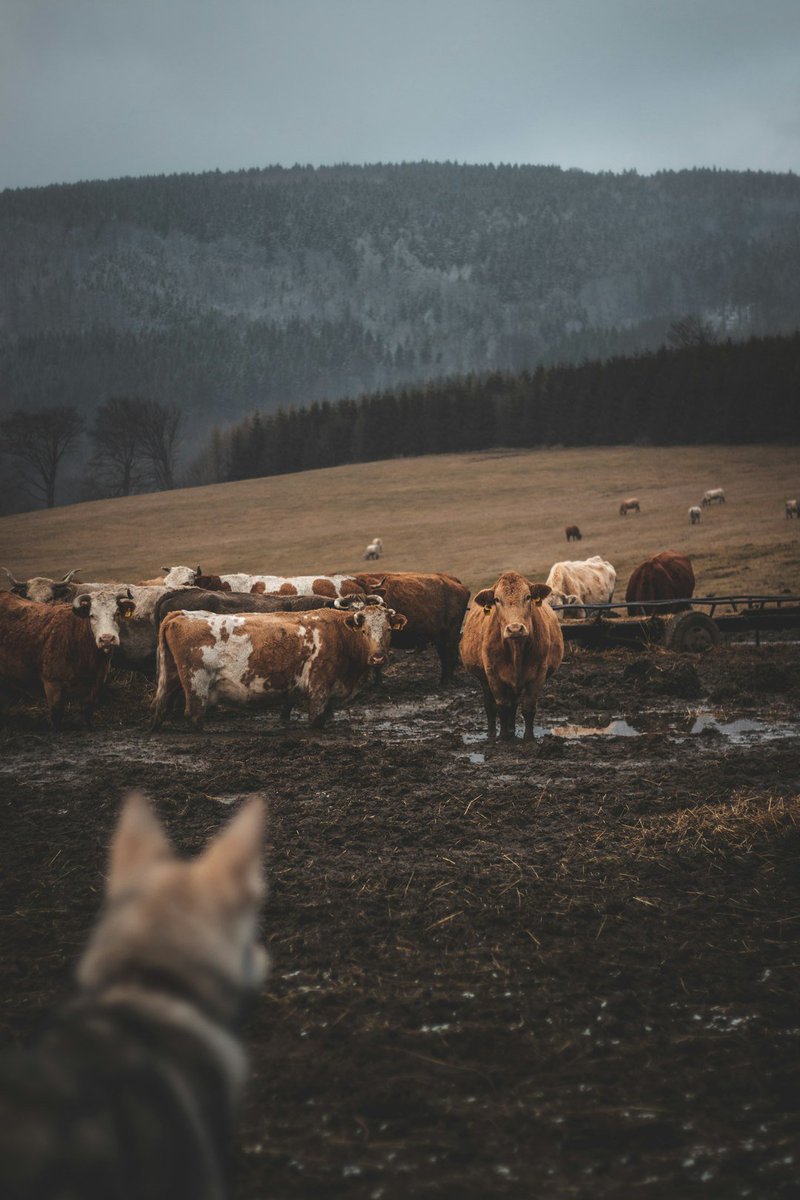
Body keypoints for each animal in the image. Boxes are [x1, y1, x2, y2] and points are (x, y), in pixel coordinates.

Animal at [0, 590, 134, 728]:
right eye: (92, 615)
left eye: (117, 613)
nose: (106, 638)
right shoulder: (52, 685)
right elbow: (57, 716)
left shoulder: (94, 687)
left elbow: (87, 713)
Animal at [151, 604, 406, 732]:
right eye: (364, 630)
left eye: (389, 630)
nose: (377, 657)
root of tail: (180, 614)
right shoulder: (319, 689)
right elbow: (316, 721)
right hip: (196, 682)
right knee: (193, 715)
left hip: (171, 677)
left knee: (160, 707)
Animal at [460, 571, 564, 743]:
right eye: (497, 599)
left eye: (528, 597)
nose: (515, 629)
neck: (516, 650)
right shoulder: (492, 674)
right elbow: (502, 706)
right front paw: (503, 737)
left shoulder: (539, 673)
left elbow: (528, 707)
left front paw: (528, 737)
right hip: (484, 680)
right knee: (490, 706)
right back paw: (492, 734)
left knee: (514, 704)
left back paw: (511, 730)